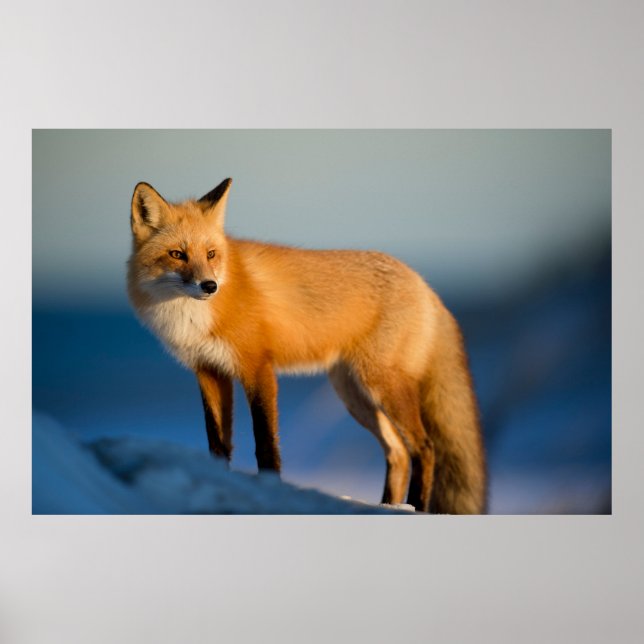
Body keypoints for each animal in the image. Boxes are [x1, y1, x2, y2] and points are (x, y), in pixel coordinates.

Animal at [127, 178, 487, 513]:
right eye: (177, 254)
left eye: (211, 254)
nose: (210, 286)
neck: (192, 317)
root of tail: (424, 284)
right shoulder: (208, 371)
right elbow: (218, 444)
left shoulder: (258, 367)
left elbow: (266, 444)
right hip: (354, 395)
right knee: (397, 452)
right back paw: (388, 506)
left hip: (382, 385)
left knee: (424, 448)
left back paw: (415, 507)